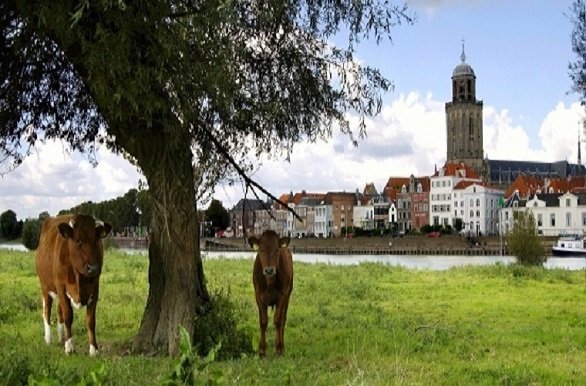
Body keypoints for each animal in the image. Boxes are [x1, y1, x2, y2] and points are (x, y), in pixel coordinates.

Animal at [34, 214, 111, 356]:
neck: (80, 278)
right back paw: (48, 338)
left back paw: (61, 337)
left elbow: (90, 321)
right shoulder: (61, 286)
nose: (93, 268)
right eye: (78, 240)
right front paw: (69, 347)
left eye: (96, 240)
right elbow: (68, 316)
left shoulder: (95, 288)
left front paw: (94, 349)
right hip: (45, 286)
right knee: (47, 311)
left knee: (59, 311)